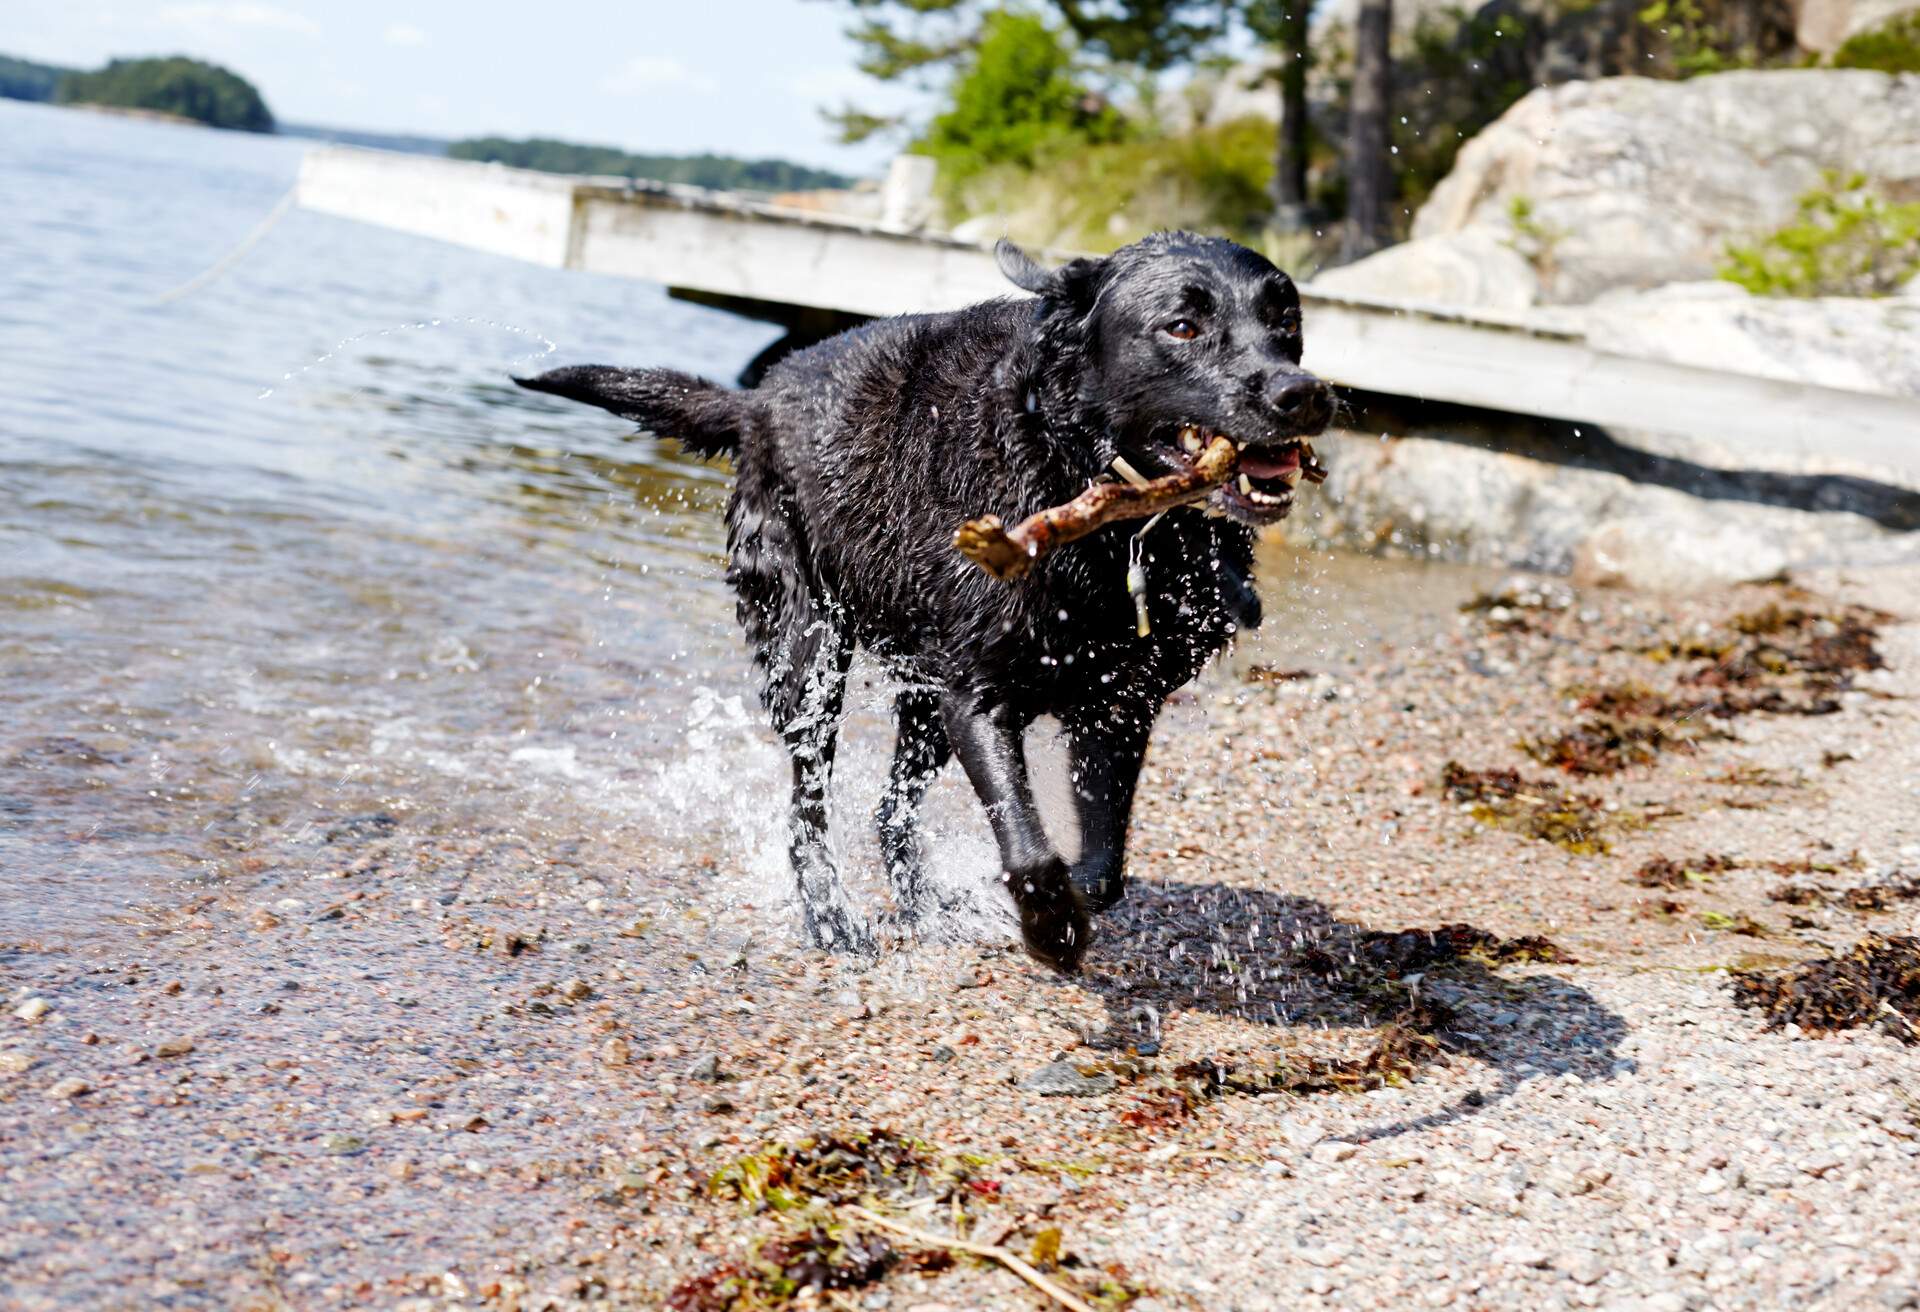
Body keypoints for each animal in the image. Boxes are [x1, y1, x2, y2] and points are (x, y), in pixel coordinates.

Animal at [526, 233, 1336, 975]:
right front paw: (1051, 929)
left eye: (1286, 318)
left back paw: (923, 906)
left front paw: (1061, 899)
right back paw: (831, 919)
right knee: (807, 806)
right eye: (1183, 326)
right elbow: (1027, 846)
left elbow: (1102, 866)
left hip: (922, 687)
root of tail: (755, 400)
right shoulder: (978, 696)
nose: (1300, 393)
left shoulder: (1118, 703)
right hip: (809, 650)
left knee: (890, 810)